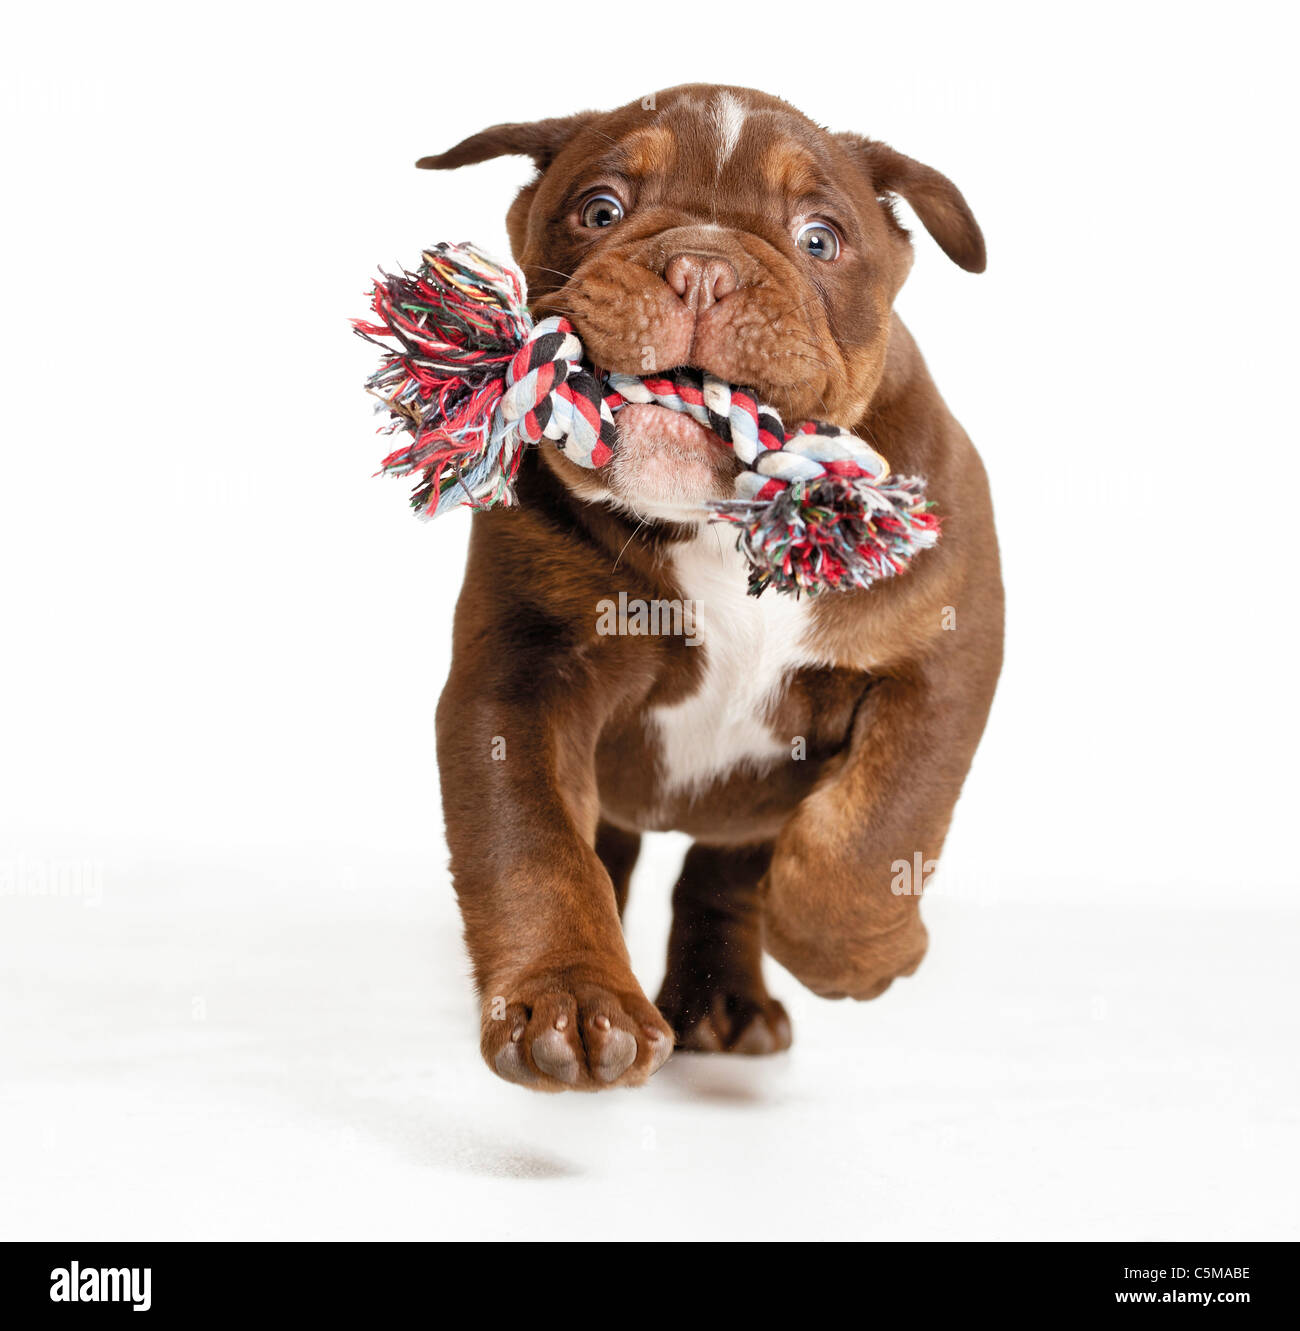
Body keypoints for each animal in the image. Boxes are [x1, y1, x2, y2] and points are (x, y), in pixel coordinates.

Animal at [417, 83, 1005, 1091]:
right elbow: (534, 844)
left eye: (820, 239)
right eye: (600, 209)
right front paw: (568, 1000)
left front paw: (858, 954)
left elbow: (877, 824)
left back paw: (728, 1003)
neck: (722, 525)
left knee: (728, 871)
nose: (701, 269)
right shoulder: (520, 681)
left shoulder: (943, 659)